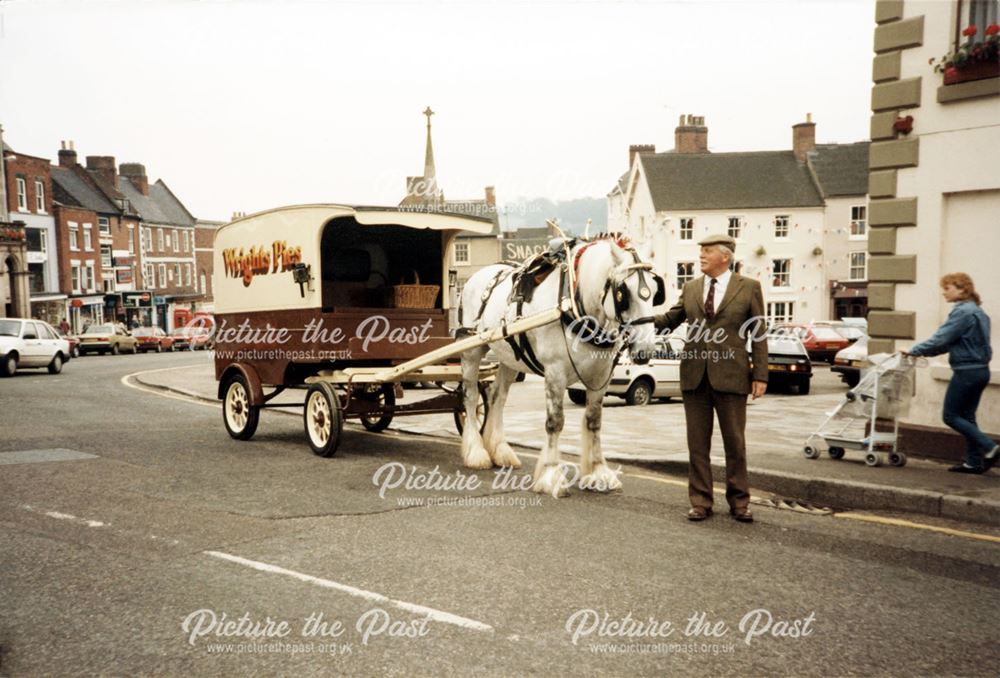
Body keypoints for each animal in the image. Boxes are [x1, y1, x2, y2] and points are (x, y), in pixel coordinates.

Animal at [456, 239, 660, 500]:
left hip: (510, 357)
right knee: (471, 398)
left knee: (497, 397)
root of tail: (479, 275)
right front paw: (551, 475)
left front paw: (598, 473)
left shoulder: (601, 376)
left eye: (655, 290)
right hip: (471, 351)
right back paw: (476, 452)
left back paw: (500, 450)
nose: (645, 350)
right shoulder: (555, 373)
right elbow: (555, 422)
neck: (574, 303)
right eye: (623, 291)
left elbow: (594, 421)